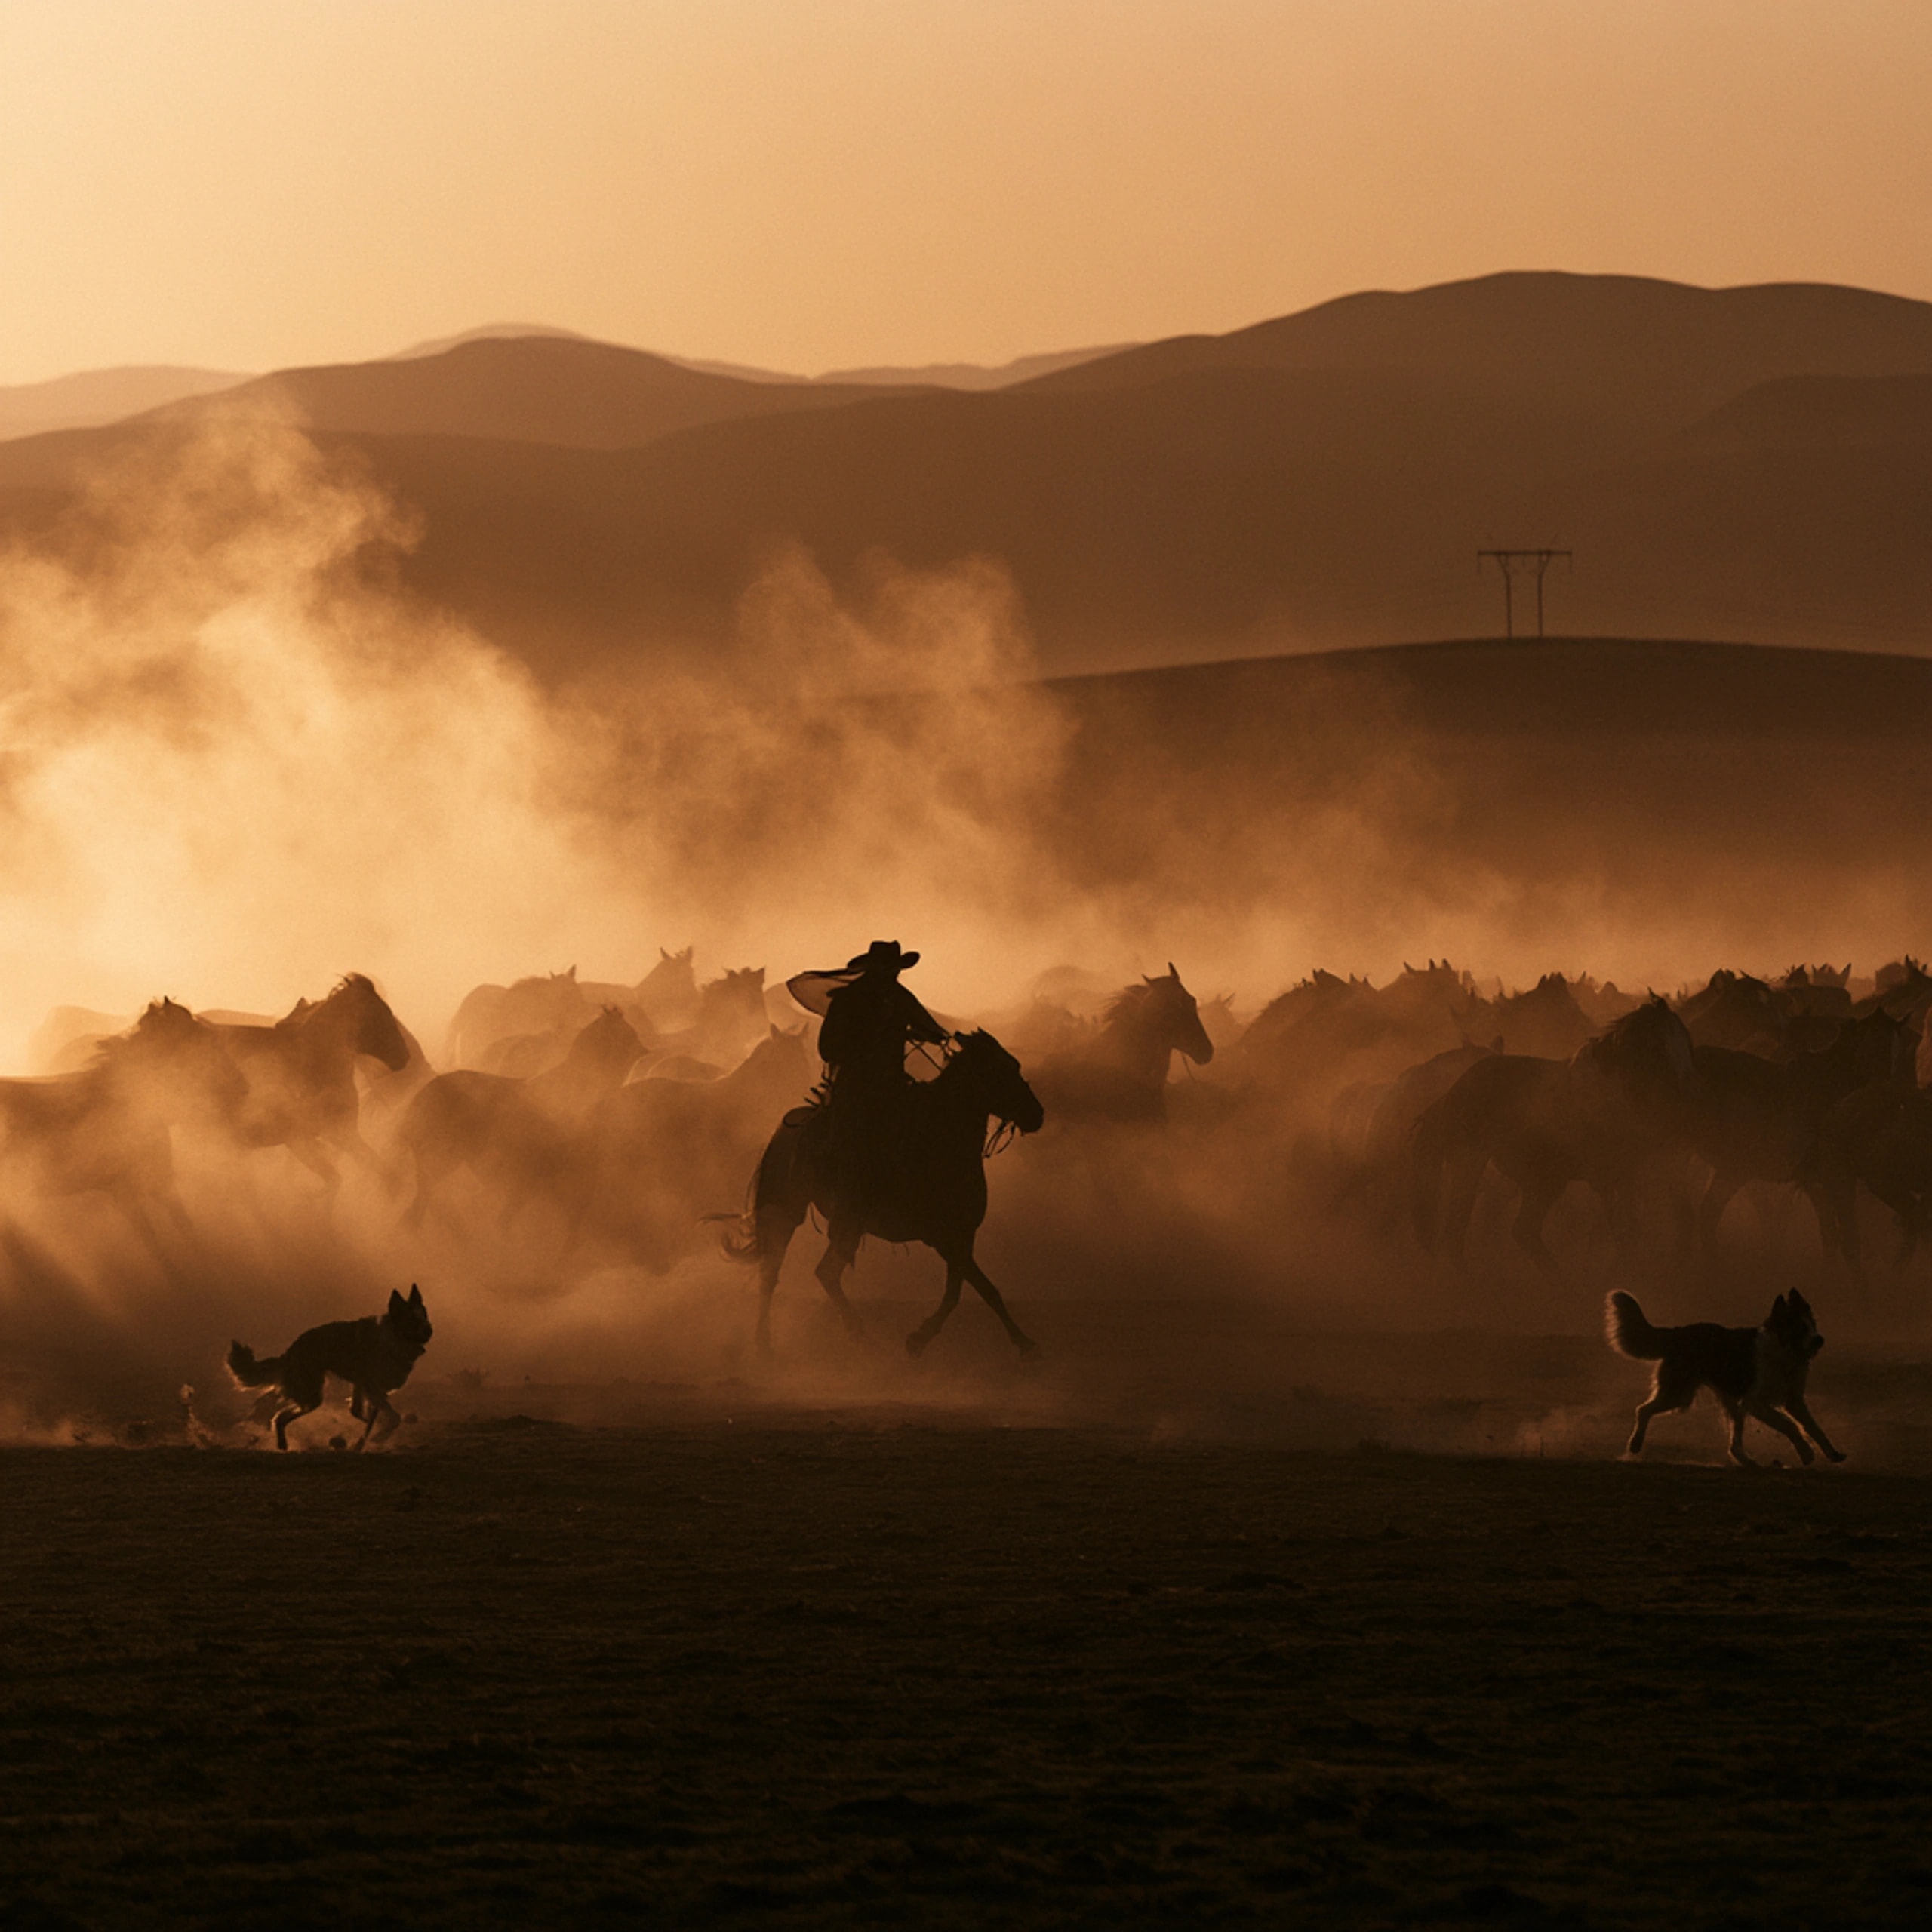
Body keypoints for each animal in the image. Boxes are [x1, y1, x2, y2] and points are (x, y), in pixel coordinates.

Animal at [0, 998, 247, 1260]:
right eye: (199, 1037)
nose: (241, 1085)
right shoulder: (125, 1192)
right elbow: (160, 1244)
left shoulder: (158, 1185)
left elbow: (181, 1230)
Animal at [213, 975, 413, 1204]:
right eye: (382, 1013)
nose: (404, 1056)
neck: (313, 1061)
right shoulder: (301, 1139)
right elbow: (334, 1180)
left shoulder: (341, 1134)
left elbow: (382, 1171)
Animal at [723, 1030, 1044, 1358]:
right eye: (1003, 1068)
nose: (1037, 1114)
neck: (942, 1144)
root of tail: (784, 1128)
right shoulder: (941, 1236)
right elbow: (978, 1286)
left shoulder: (963, 1235)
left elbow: (967, 1290)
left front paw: (923, 1339)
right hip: (797, 1214)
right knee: (795, 1272)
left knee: (806, 1273)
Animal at [1409, 997, 1698, 1274]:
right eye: (1659, 1046)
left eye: (1686, 1042)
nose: (1685, 1094)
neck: (1611, 1091)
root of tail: (1453, 1093)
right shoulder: (1609, 1175)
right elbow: (1624, 1230)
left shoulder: (1621, 1175)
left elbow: (1628, 1230)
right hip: (1475, 1164)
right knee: (1463, 1231)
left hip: (1540, 1180)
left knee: (1520, 1231)